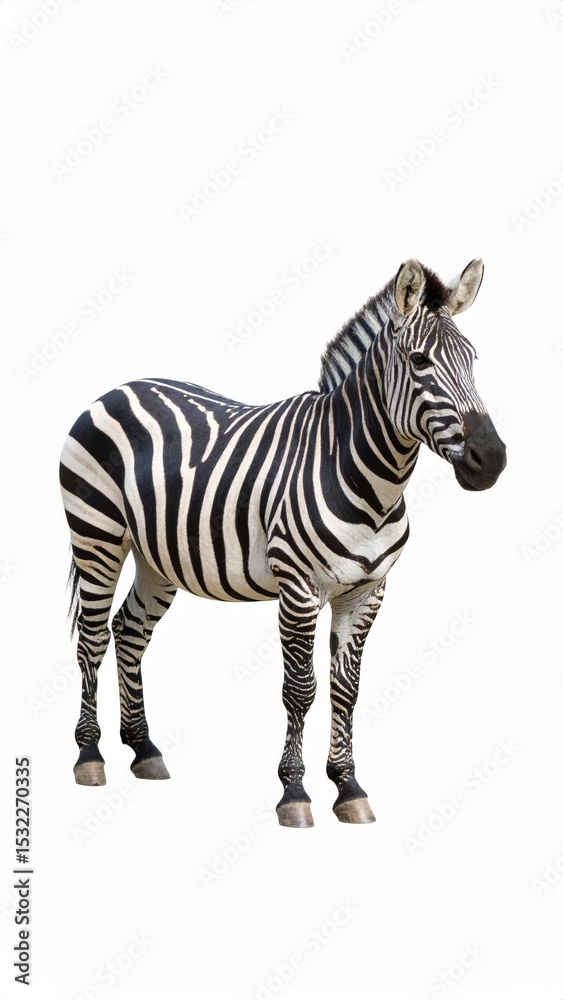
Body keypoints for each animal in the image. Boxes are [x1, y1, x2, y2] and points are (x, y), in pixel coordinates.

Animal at [60, 257, 506, 827]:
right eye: (420, 361)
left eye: (473, 360)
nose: (491, 460)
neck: (364, 475)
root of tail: (118, 388)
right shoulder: (298, 588)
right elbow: (301, 689)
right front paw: (294, 792)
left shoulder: (368, 592)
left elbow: (346, 690)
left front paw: (348, 786)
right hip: (96, 536)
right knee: (92, 638)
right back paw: (89, 756)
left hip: (157, 559)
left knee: (129, 631)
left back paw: (143, 749)